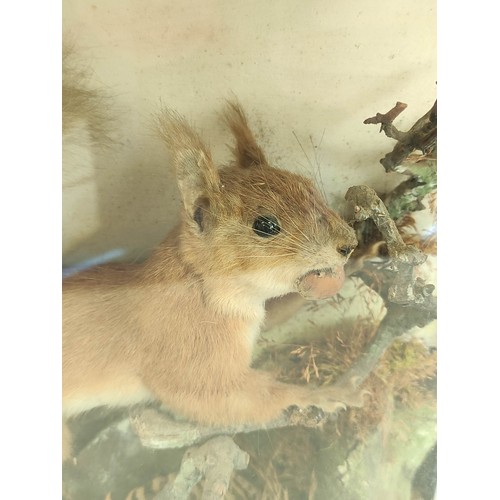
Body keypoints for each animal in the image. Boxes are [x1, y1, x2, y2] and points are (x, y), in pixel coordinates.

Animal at [62, 100, 362, 460]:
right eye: (265, 226)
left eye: (306, 184)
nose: (349, 244)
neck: (200, 287)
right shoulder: (191, 356)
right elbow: (232, 399)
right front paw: (324, 395)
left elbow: (279, 311)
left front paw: (368, 256)